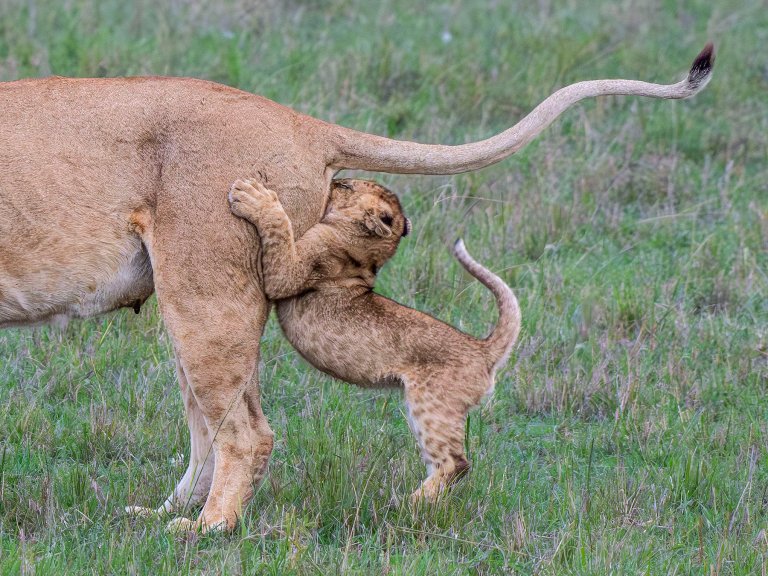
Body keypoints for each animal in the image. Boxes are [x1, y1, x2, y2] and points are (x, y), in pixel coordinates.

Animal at [0, 45, 714, 532]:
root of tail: (294, 119)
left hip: (207, 290)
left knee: (246, 432)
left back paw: (205, 532)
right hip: (192, 301)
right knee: (211, 428)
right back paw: (161, 518)